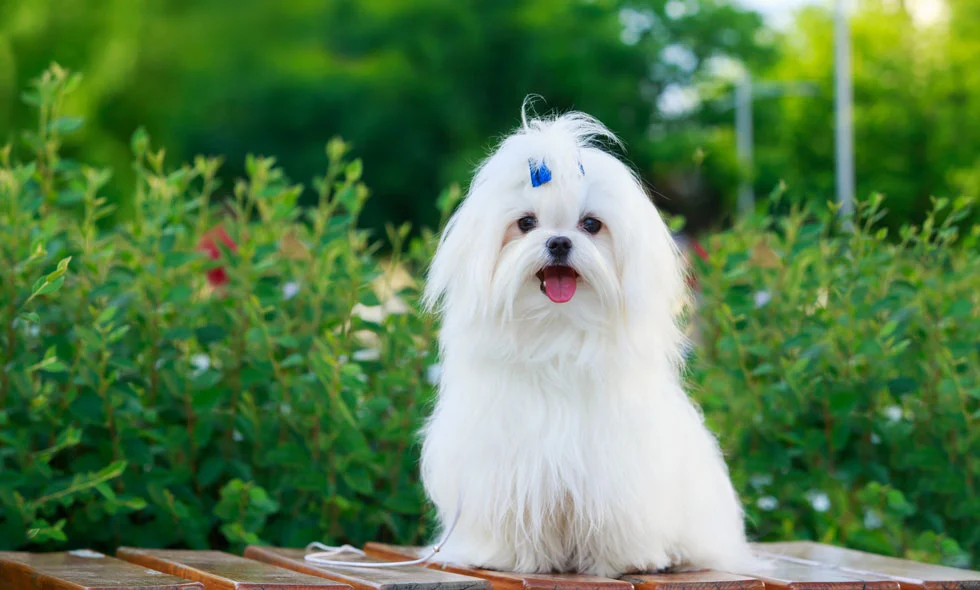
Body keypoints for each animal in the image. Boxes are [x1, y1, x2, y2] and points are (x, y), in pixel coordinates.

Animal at [420, 110, 752, 580]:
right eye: (526, 223)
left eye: (591, 225)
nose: (559, 241)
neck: (558, 333)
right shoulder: (504, 463)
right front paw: (504, 555)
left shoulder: (617, 467)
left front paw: (627, 559)